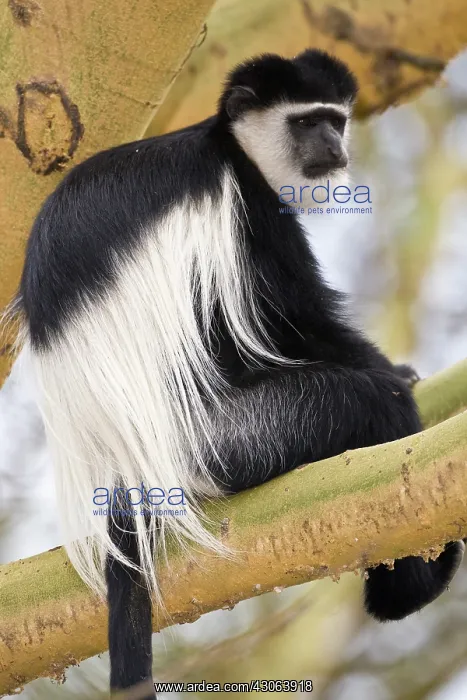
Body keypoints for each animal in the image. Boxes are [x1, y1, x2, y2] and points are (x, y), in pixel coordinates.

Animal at [10, 49, 463, 697]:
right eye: (307, 123)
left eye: (335, 120)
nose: (335, 147)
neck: (230, 146)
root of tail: (121, 467)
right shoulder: (246, 206)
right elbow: (294, 319)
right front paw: (396, 374)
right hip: (230, 438)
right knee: (367, 405)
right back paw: (412, 582)